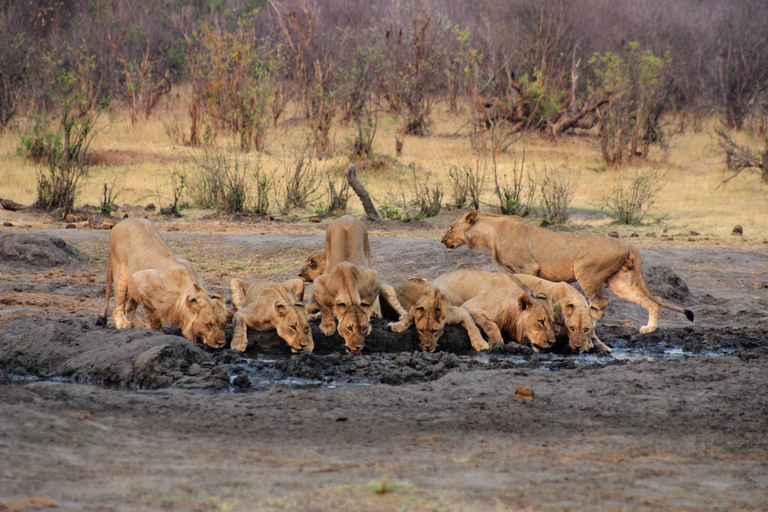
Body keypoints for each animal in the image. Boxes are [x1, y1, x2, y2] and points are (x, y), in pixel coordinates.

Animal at [97, 216, 228, 348]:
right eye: (209, 324)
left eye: (223, 324)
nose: (221, 344)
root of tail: (120, 223)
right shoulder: (142, 278)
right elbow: (152, 315)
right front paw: (156, 333)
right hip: (121, 274)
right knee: (118, 306)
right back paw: (123, 324)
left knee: (129, 308)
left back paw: (140, 325)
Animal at [438, 210, 696, 334]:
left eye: (450, 227)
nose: (442, 241)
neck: (488, 234)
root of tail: (627, 243)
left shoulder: (528, 266)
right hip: (619, 282)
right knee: (653, 301)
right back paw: (649, 328)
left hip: (586, 272)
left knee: (599, 303)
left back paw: (590, 323)